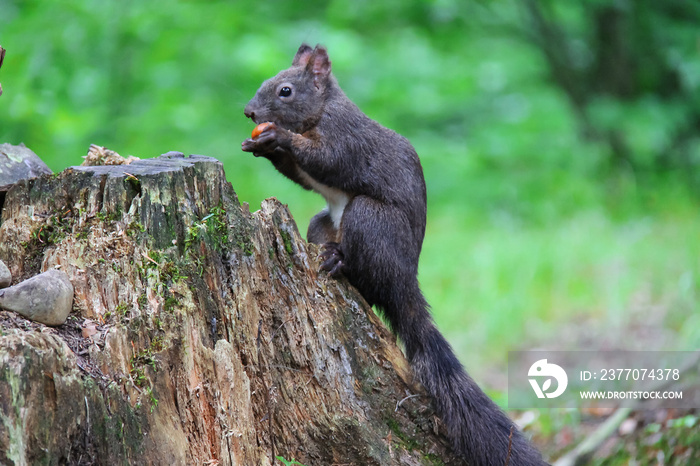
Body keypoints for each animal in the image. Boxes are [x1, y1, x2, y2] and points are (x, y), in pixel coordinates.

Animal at [242, 44, 548, 466]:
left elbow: (327, 160)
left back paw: (340, 264)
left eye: (285, 91)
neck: (322, 110)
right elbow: (302, 174)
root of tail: (406, 282)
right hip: (322, 224)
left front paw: (279, 136)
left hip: (369, 220)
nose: (249, 112)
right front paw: (260, 146)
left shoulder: (345, 139)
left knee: (369, 281)